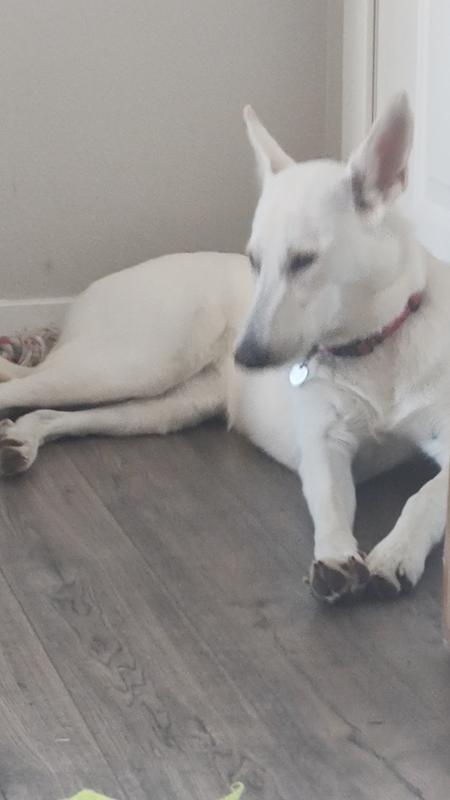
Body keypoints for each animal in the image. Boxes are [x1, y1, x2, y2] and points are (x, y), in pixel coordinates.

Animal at [0, 93, 446, 603]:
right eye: (254, 260)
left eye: (304, 260)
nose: (243, 357)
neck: (372, 349)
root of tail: (90, 291)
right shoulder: (324, 444)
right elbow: (331, 501)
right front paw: (335, 555)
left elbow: (425, 497)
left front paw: (396, 553)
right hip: (130, 365)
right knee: (22, 389)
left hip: (162, 407)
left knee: (51, 414)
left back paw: (22, 438)